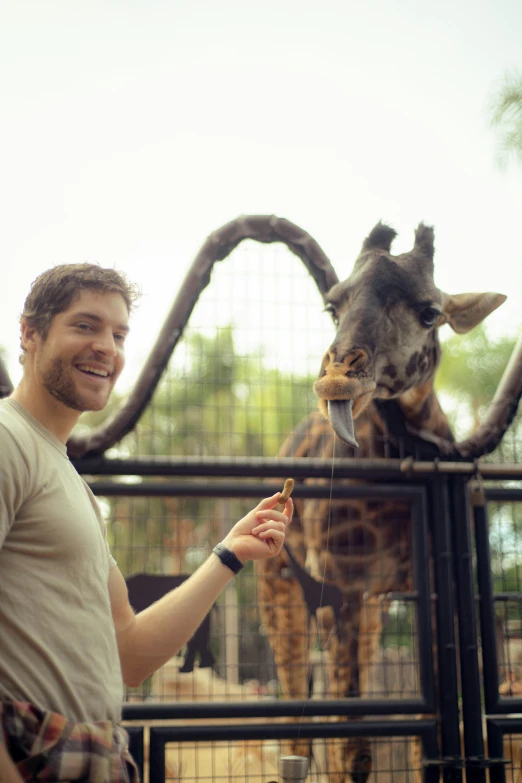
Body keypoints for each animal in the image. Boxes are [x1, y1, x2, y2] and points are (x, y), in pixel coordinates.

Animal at [256, 220, 504, 783]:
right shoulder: (341, 583)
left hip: (370, 605)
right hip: (282, 587)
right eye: (333, 307)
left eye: (430, 312)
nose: (336, 379)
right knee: (294, 712)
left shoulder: (426, 587)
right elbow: (355, 746)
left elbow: (432, 731)